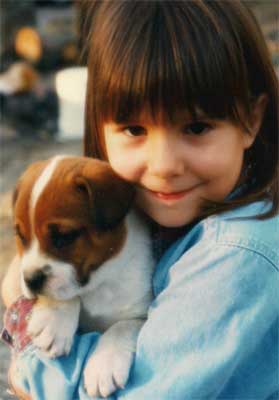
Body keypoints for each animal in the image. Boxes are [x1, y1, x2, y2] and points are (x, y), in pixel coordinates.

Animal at [4, 155, 155, 396]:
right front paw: (55, 321)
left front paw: (104, 364)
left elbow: (120, 328)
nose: (30, 280)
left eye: (64, 237)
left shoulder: (139, 313)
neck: (98, 282)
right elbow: (65, 296)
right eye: (21, 236)